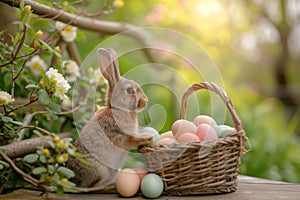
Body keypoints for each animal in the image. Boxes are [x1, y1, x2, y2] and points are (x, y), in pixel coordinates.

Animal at [67, 48, 154, 188]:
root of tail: (74, 180)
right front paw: (146, 137)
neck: (118, 109)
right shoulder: (117, 134)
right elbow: (129, 139)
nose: (145, 101)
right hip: (100, 169)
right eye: (130, 90)